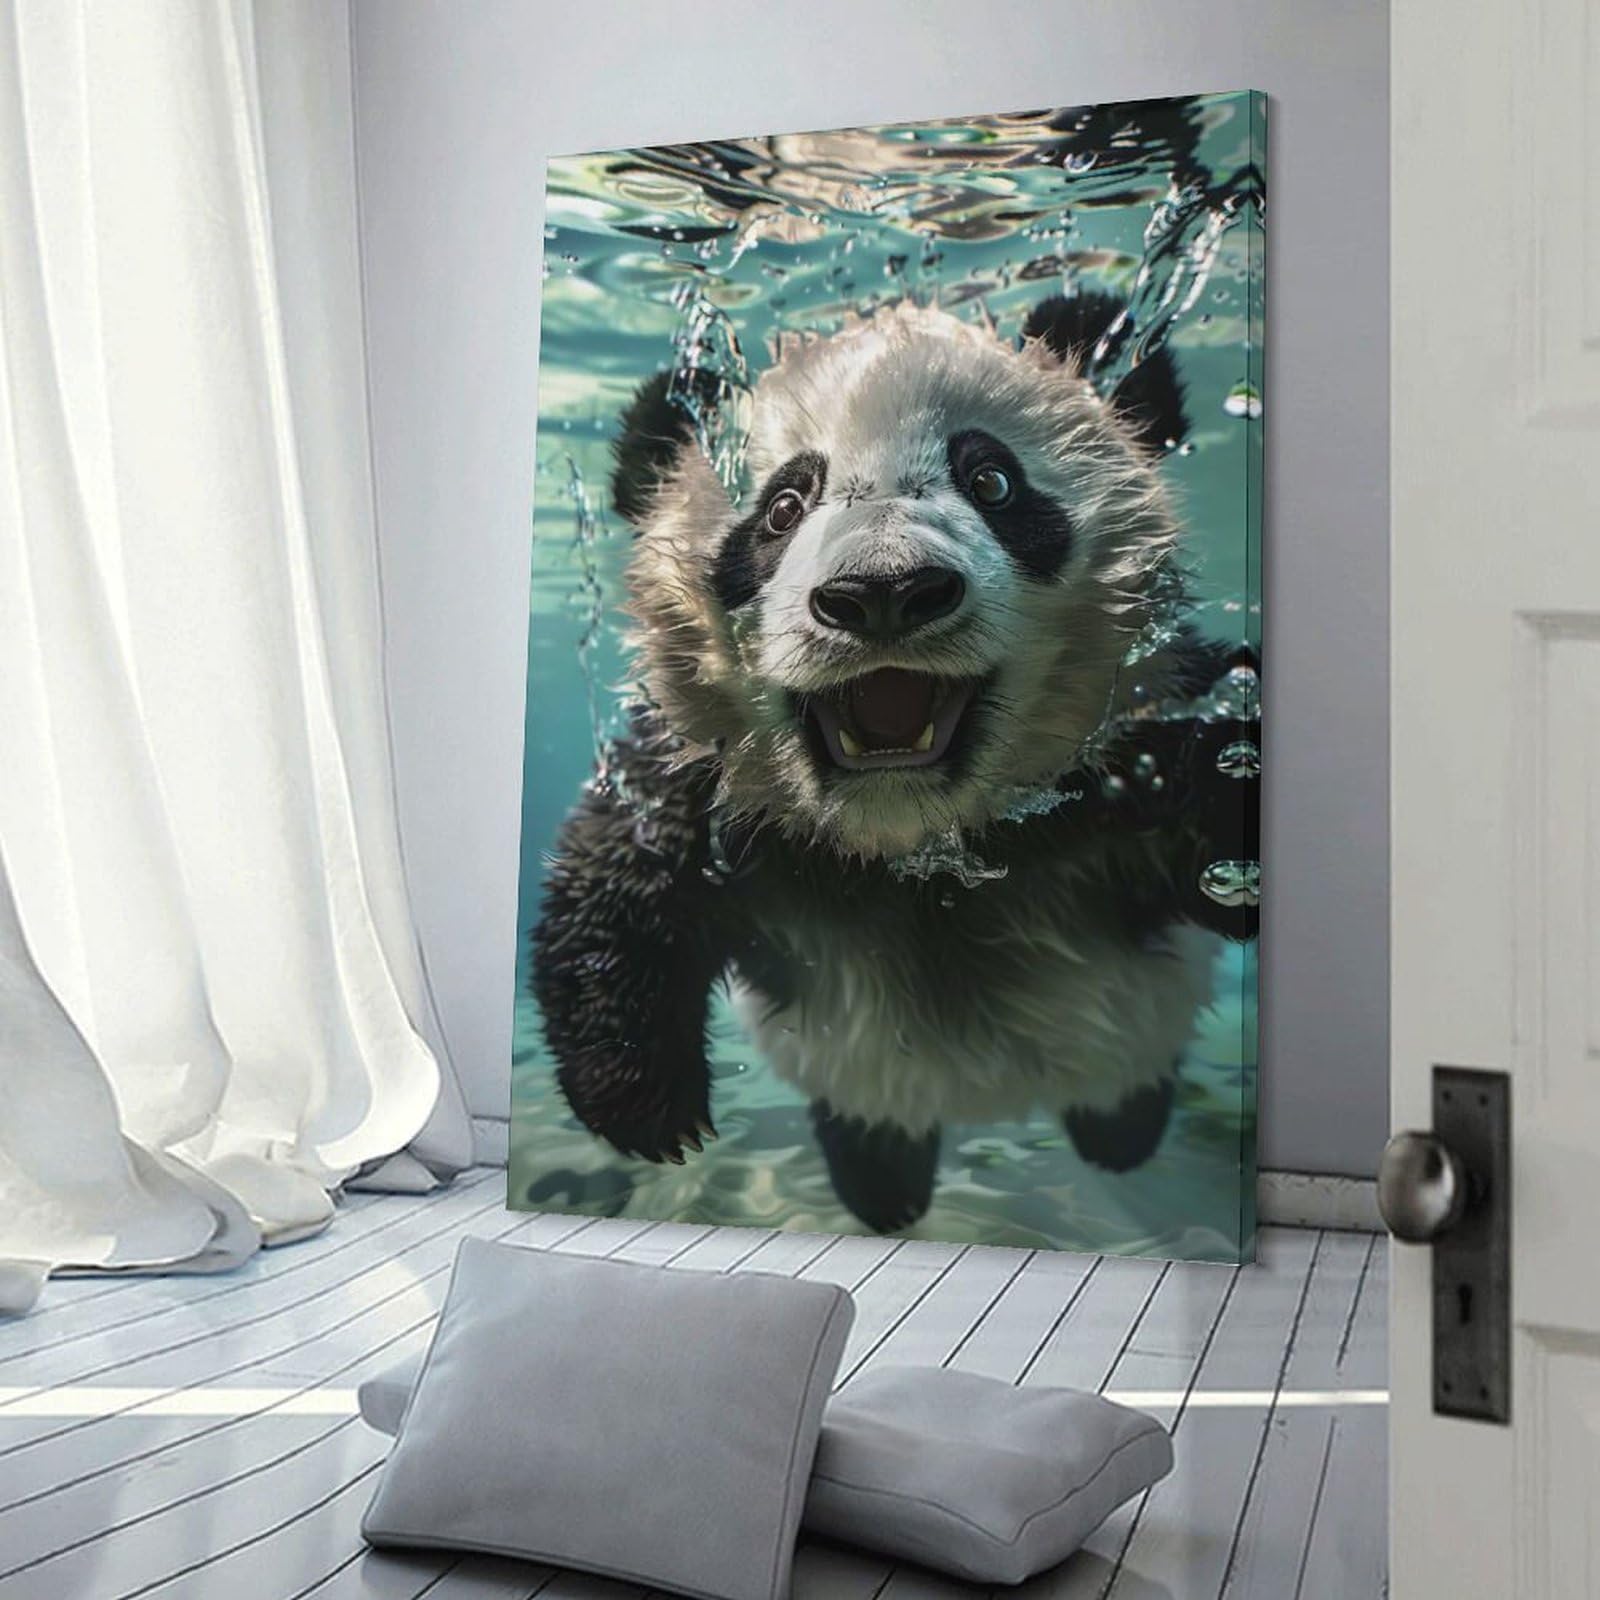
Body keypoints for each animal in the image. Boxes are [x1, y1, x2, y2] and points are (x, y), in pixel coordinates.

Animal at [532, 290, 1259, 1233]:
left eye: (992, 481)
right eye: (783, 506)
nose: (884, 593)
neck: (915, 848)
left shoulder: (1135, 738)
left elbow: (1222, 801)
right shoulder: (709, 787)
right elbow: (614, 882)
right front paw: (646, 1109)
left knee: (1123, 1094)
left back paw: (1117, 1137)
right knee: (870, 1125)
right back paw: (885, 1191)